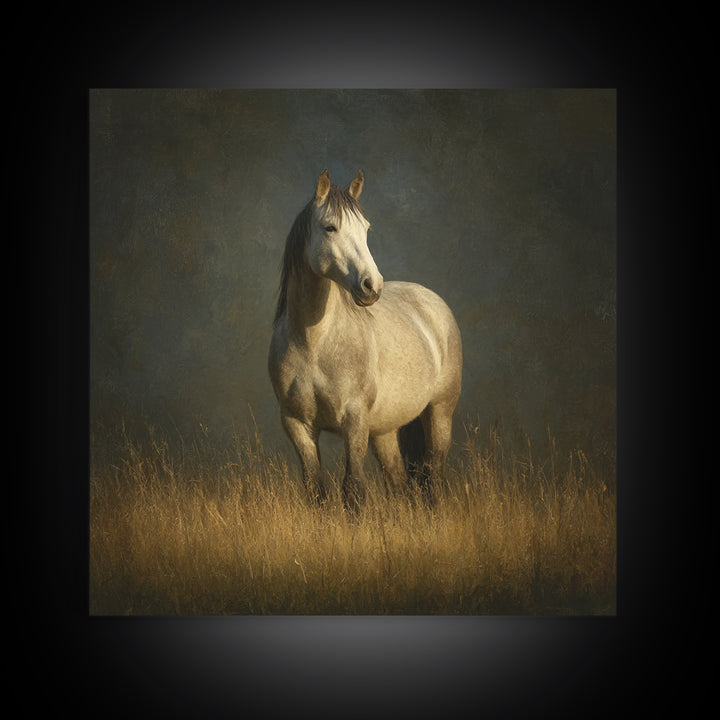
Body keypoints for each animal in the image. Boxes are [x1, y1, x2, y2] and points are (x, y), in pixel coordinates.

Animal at [268, 169, 462, 509]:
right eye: (330, 227)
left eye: (366, 229)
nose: (372, 286)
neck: (313, 343)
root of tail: (430, 299)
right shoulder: (296, 424)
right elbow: (316, 491)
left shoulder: (355, 419)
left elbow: (354, 489)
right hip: (384, 430)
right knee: (399, 484)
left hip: (440, 412)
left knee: (433, 476)